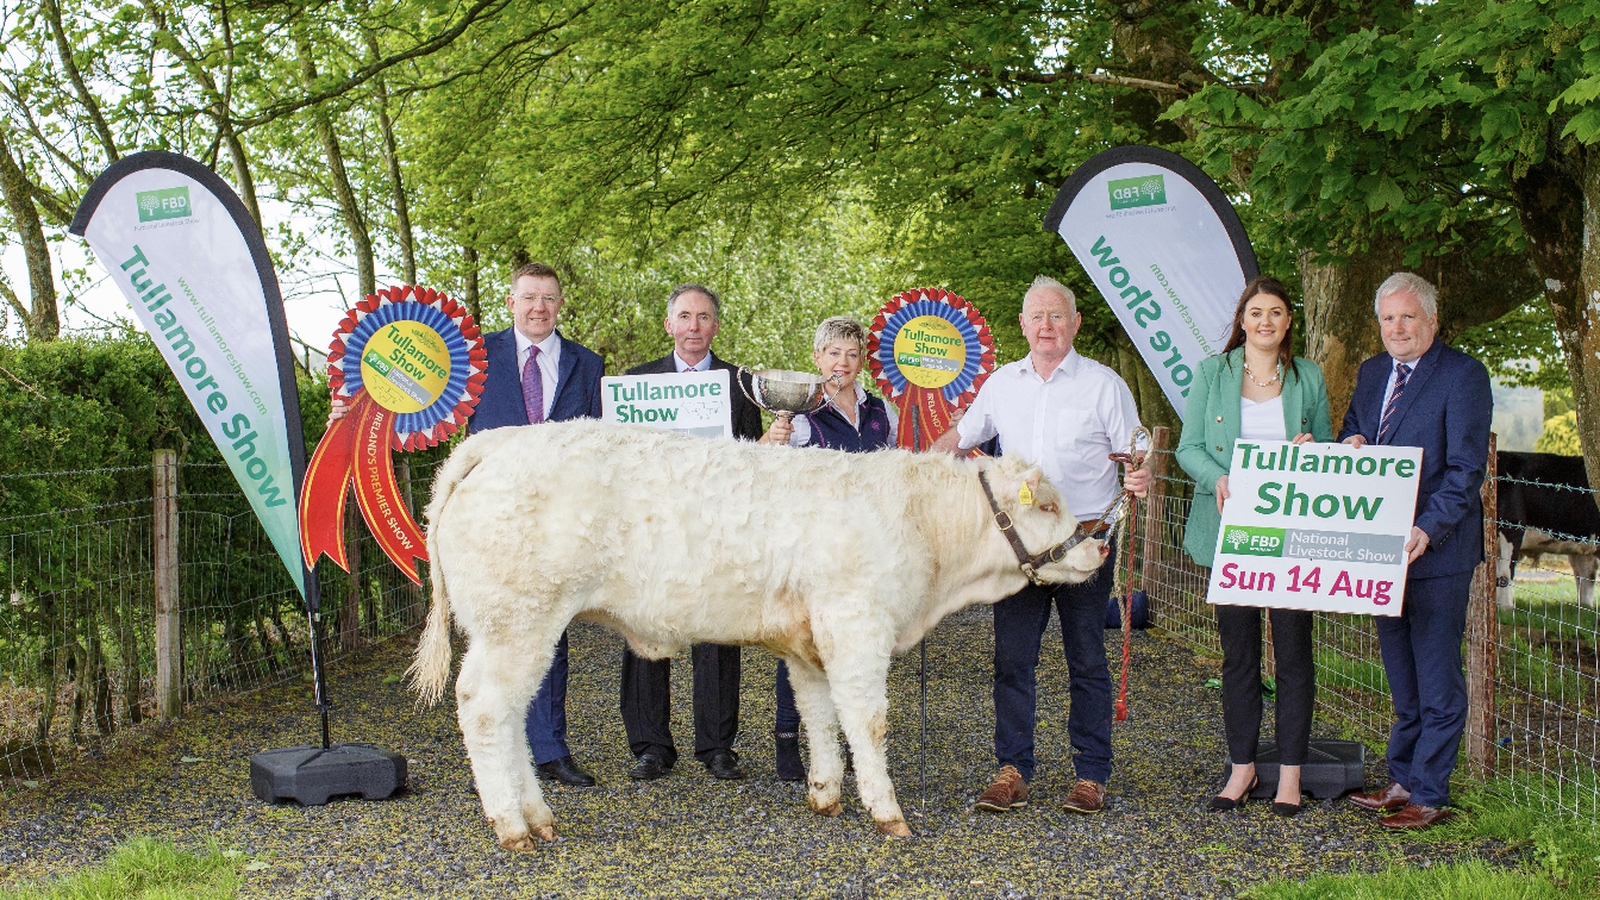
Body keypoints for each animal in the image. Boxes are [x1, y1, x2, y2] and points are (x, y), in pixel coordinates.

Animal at [412, 416, 1113, 845]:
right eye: (1049, 505)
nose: (1099, 546)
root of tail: (495, 443)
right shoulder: (857, 622)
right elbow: (867, 720)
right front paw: (887, 812)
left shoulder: (808, 643)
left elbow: (820, 714)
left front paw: (826, 794)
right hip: (516, 622)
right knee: (484, 708)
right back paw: (512, 825)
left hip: (518, 626)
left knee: (510, 715)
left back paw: (538, 815)